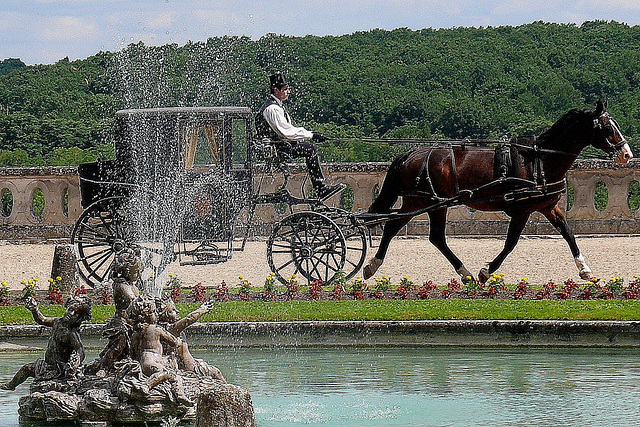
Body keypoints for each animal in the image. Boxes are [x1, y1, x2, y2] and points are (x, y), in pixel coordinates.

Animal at [364, 102, 636, 284]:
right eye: (607, 128)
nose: (627, 155)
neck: (540, 160)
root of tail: (412, 154)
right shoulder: (522, 210)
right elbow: (510, 243)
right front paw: (486, 271)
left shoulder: (548, 206)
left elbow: (568, 234)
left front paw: (585, 269)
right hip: (423, 202)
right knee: (404, 230)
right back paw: (374, 266)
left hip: (429, 203)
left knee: (425, 235)